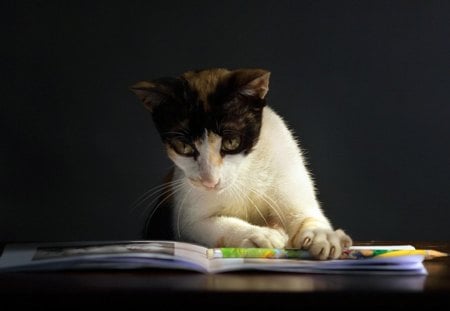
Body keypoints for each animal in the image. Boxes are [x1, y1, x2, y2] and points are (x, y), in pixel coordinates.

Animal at [130, 68, 352, 260]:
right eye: (183, 146)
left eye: (231, 142)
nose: (210, 181)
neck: (243, 174)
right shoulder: (185, 214)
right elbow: (210, 225)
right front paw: (259, 234)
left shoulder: (285, 161)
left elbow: (305, 211)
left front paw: (322, 234)